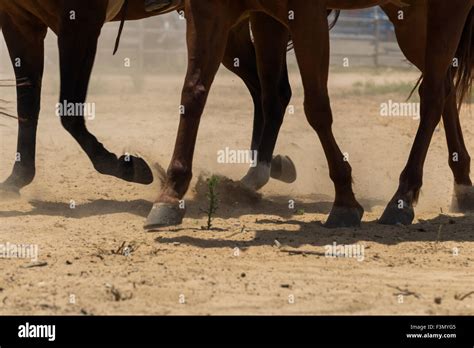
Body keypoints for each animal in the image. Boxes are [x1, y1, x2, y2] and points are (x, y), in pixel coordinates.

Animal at [146, 0, 472, 231]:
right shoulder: (222, 12)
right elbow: (194, 93)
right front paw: (171, 192)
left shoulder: (304, 15)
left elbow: (316, 108)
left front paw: (344, 200)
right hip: (410, 17)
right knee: (444, 87)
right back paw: (461, 185)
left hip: (445, 9)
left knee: (432, 96)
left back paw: (402, 197)